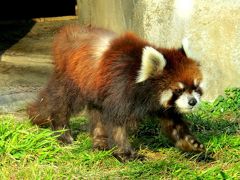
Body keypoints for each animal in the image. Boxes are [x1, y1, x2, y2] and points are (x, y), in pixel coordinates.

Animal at [27, 23, 204, 160]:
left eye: (195, 87)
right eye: (178, 90)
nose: (192, 102)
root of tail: (67, 33)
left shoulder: (160, 105)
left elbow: (173, 122)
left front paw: (190, 143)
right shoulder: (119, 90)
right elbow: (116, 124)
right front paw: (126, 154)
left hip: (96, 87)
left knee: (96, 113)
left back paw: (100, 142)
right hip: (74, 80)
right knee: (61, 104)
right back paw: (63, 133)